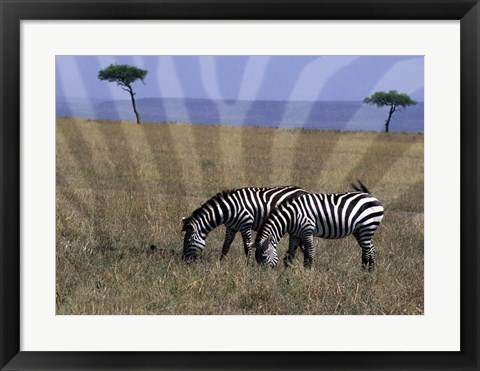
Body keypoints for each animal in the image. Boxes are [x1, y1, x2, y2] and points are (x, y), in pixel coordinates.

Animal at [180, 185, 308, 262]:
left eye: (187, 242)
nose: (184, 261)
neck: (229, 210)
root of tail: (304, 191)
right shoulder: (231, 228)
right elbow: (225, 247)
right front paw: (220, 264)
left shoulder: (245, 225)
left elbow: (247, 248)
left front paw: (248, 266)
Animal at [253, 182, 384, 272]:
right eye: (256, 259)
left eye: (264, 257)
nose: (264, 277)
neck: (291, 216)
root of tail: (371, 196)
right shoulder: (295, 234)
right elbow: (289, 255)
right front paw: (286, 274)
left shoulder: (307, 231)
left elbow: (309, 254)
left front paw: (308, 273)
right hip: (359, 231)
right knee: (371, 250)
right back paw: (370, 273)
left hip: (367, 227)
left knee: (366, 252)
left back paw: (362, 273)